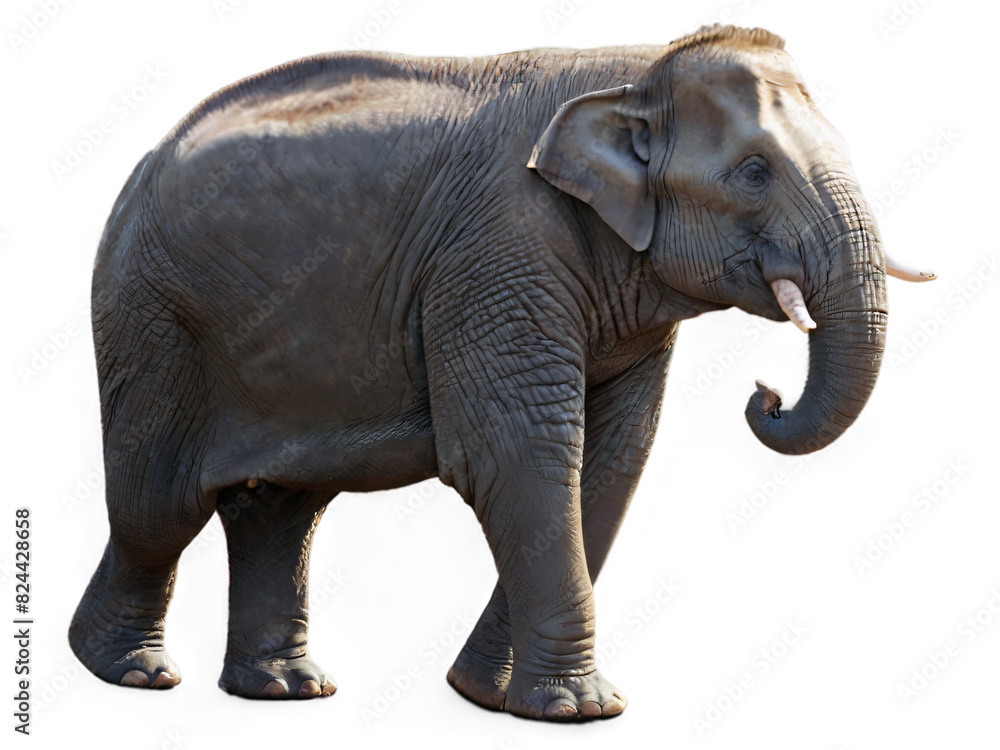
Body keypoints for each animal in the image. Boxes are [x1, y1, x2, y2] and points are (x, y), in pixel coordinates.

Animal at [70, 24, 934, 720]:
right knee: (160, 504)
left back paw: (285, 691)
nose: (765, 395)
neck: (636, 68)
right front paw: (580, 712)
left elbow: (611, 464)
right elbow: (519, 453)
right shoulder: (499, 252)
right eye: (754, 172)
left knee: (279, 510)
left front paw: (486, 697)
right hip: (153, 318)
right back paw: (131, 674)